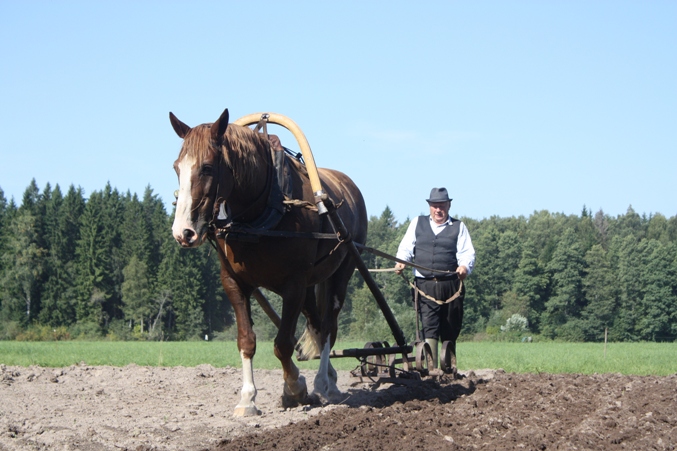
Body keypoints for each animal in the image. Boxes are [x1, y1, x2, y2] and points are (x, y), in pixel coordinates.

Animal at [172, 108, 368, 416]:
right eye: (177, 167)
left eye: (207, 167)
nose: (183, 233)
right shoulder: (234, 283)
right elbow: (246, 341)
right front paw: (247, 398)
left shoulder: (294, 284)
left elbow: (283, 344)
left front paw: (296, 388)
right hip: (311, 286)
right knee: (316, 324)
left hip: (342, 271)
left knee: (327, 327)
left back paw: (324, 384)